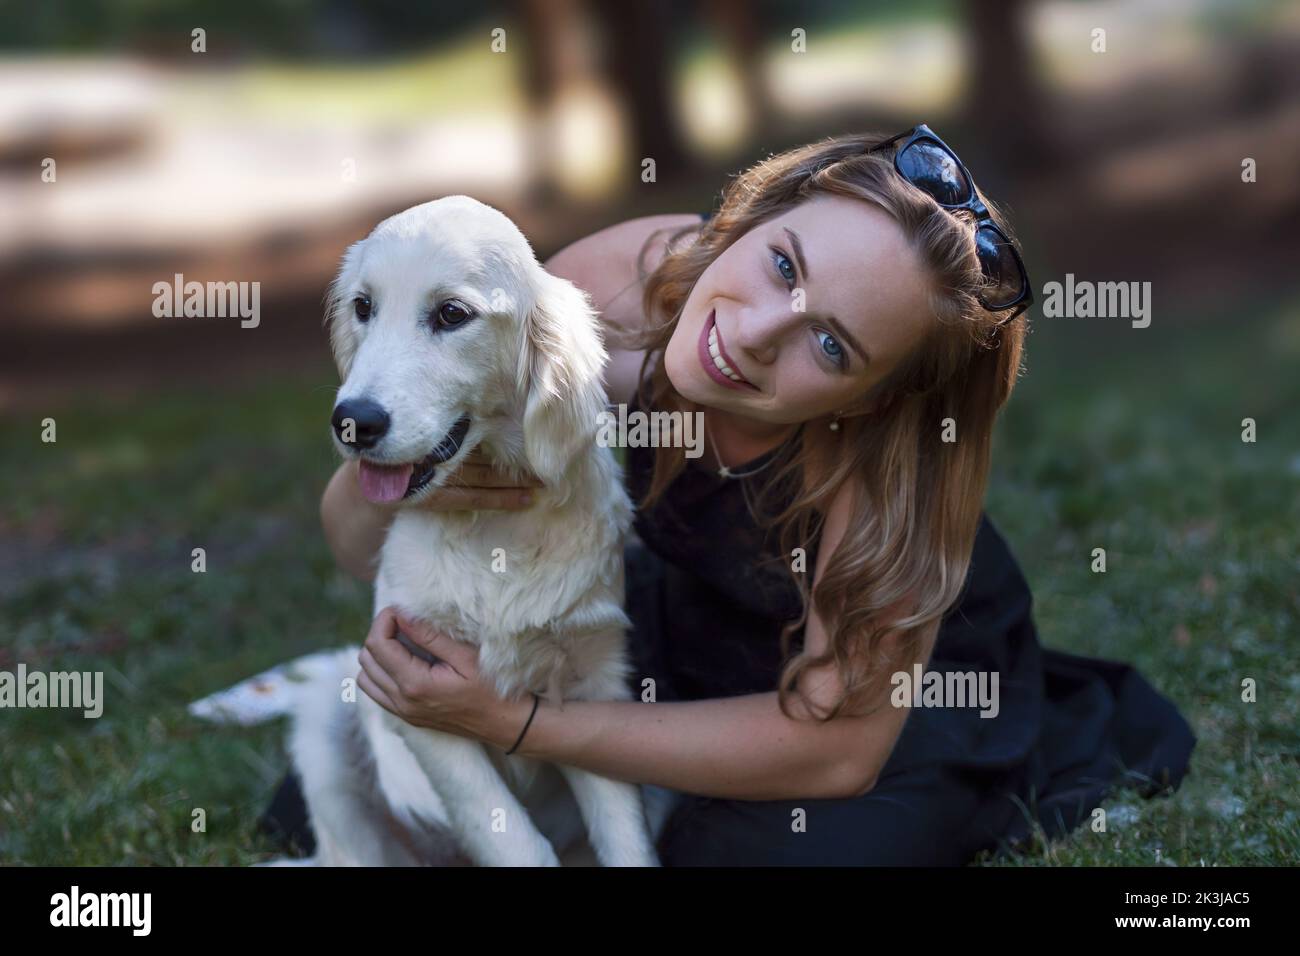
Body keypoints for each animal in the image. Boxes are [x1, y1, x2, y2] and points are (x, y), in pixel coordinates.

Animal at [291, 195, 665, 868]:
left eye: (452, 314)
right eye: (363, 307)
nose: (353, 421)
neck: (491, 533)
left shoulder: (595, 685)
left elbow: (625, 843)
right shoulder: (409, 689)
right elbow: (516, 842)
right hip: (325, 713)